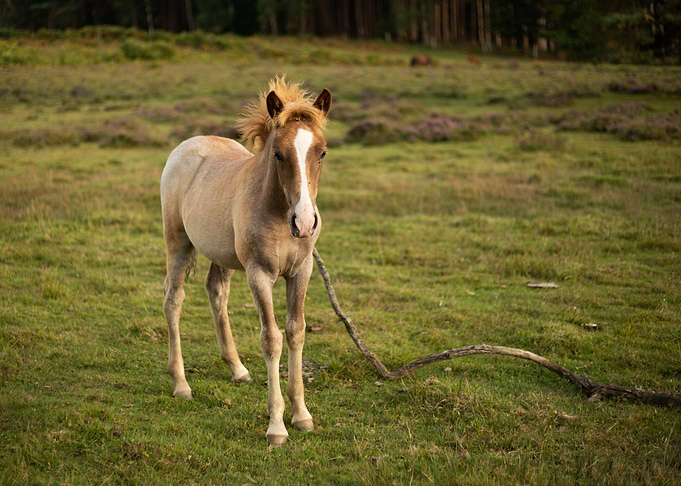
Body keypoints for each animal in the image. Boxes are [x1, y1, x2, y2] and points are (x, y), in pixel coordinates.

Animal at [160, 76, 331, 446]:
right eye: (279, 154)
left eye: (322, 152)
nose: (305, 222)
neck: (279, 213)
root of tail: (187, 145)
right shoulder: (259, 274)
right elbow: (271, 339)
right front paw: (277, 426)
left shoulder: (302, 271)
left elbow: (296, 331)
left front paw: (302, 415)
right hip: (178, 244)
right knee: (173, 299)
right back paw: (181, 384)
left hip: (220, 253)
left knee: (216, 291)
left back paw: (236, 368)